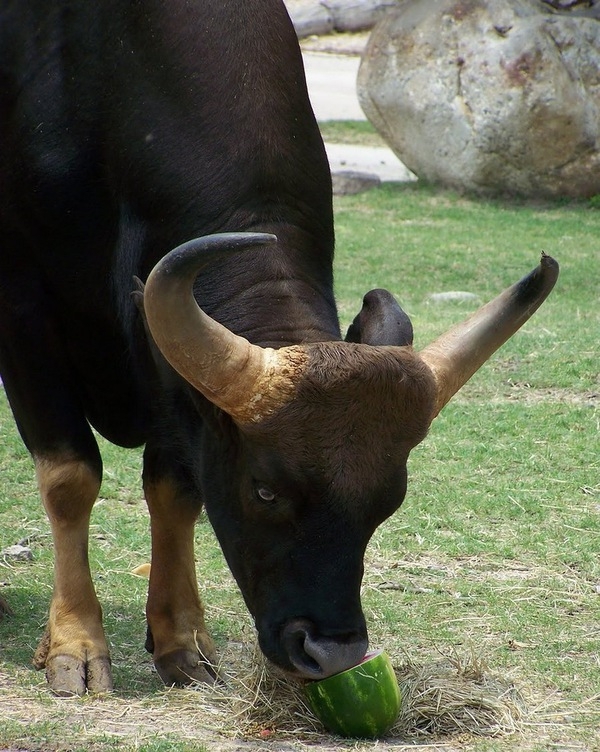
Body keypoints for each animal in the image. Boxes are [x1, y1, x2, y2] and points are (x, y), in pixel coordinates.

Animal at [0, 0, 556, 696]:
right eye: (265, 490)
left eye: (389, 500)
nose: (330, 651)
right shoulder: (22, 309)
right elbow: (71, 476)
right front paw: (76, 643)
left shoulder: (172, 378)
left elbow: (176, 485)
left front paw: (182, 639)